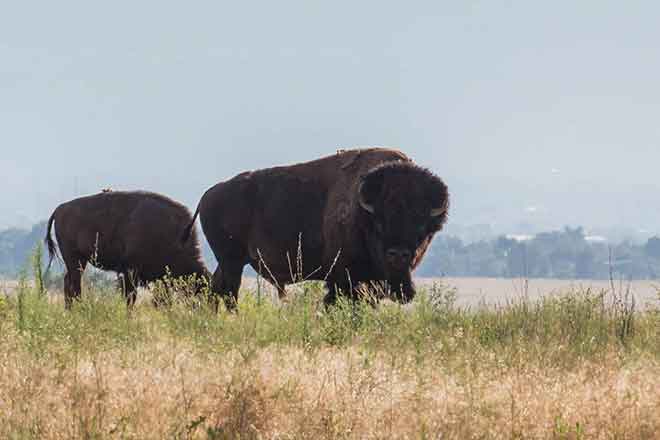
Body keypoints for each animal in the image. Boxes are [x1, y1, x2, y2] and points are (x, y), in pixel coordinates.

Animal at [45, 190, 209, 310]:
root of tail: (59, 209)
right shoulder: (131, 272)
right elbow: (131, 297)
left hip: (79, 261)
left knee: (69, 283)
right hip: (74, 259)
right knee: (74, 285)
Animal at [183, 148, 452, 310]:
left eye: (421, 225)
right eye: (379, 222)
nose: (398, 255)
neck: (362, 212)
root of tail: (207, 195)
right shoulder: (343, 278)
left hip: (230, 262)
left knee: (216, 289)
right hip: (232, 262)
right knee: (228, 292)